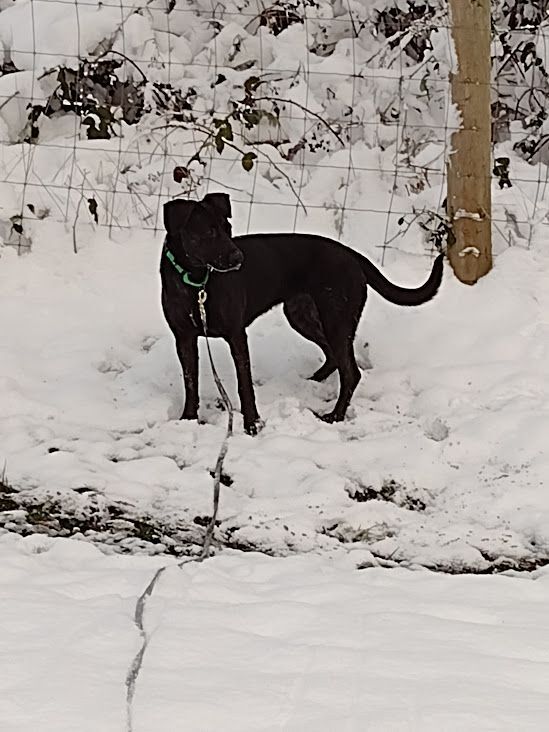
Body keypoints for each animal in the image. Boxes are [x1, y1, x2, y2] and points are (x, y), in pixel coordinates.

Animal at [161, 193, 444, 434]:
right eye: (209, 232)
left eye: (227, 229)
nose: (238, 257)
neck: (195, 282)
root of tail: (352, 255)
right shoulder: (184, 338)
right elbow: (190, 382)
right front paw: (188, 419)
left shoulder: (236, 336)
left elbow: (244, 385)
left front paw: (252, 424)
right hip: (303, 315)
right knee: (333, 357)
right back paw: (313, 382)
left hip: (336, 319)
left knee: (351, 372)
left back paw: (335, 416)